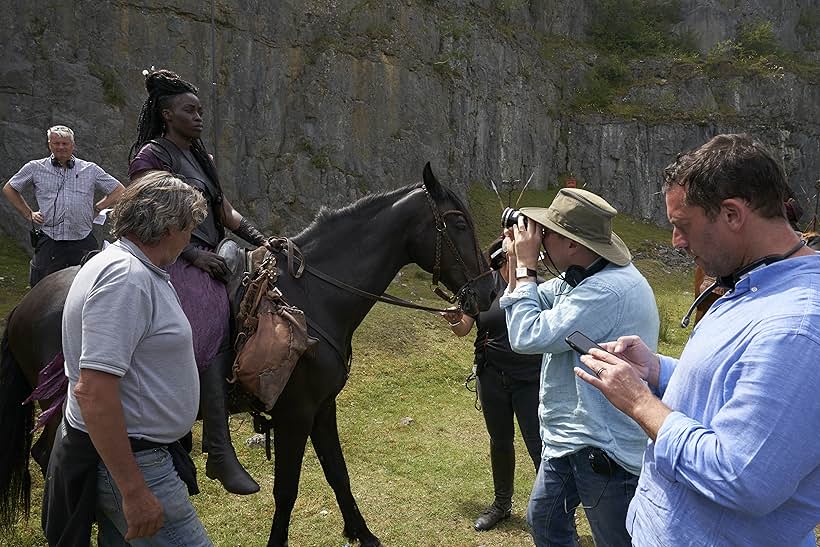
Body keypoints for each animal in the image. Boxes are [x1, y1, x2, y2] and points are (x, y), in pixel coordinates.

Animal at [0, 164, 494, 547]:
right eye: (458, 223)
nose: (488, 292)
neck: (313, 297)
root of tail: (26, 306)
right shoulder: (296, 413)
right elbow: (287, 490)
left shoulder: (322, 407)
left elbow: (338, 472)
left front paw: (362, 533)